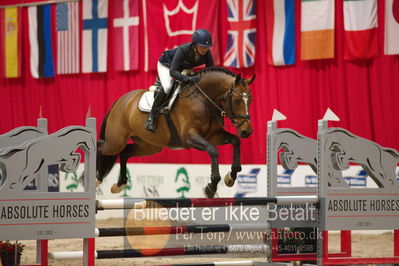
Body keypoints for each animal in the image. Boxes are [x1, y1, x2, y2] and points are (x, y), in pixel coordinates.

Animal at [96, 66, 256, 197]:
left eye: (250, 100)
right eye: (237, 100)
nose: (247, 131)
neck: (203, 99)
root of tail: (120, 101)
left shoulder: (214, 136)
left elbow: (235, 141)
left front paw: (231, 176)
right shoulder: (189, 137)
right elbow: (213, 151)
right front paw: (211, 187)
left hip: (149, 146)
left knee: (125, 153)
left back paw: (119, 184)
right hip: (115, 141)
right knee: (101, 146)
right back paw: (97, 178)